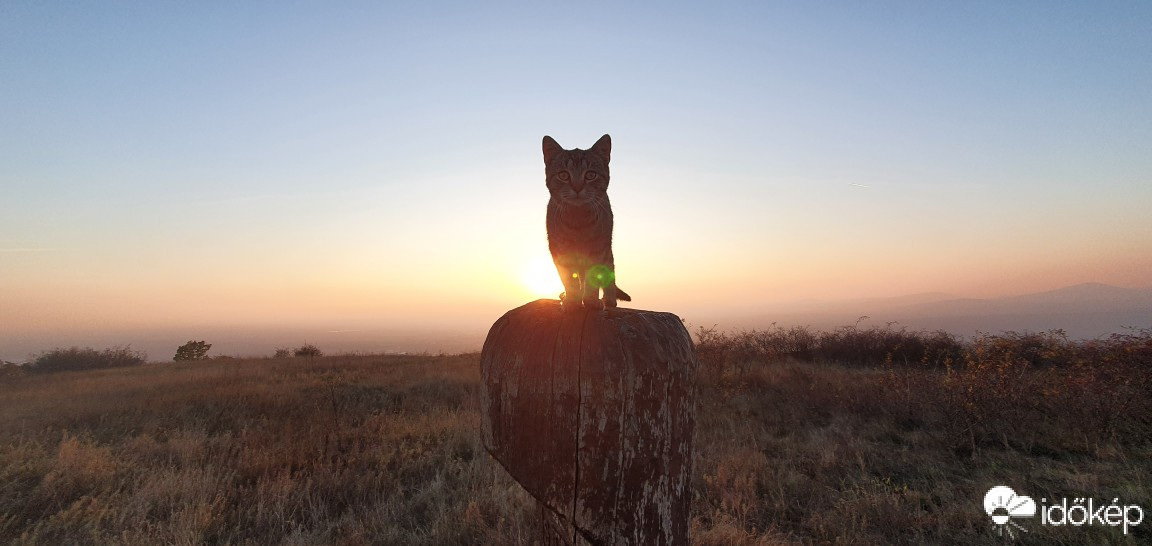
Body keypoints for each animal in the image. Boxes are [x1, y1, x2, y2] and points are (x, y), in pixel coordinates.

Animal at [543, 133, 635, 311]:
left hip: (607, 250)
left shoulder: (598, 250)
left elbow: (594, 277)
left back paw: (609, 299)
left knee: (609, 272)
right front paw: (573, 300)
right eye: (563, 175)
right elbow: (568, 278)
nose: (577, 187)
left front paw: (591, 300)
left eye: (590, 174)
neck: (578, 221)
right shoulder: (560, 250)